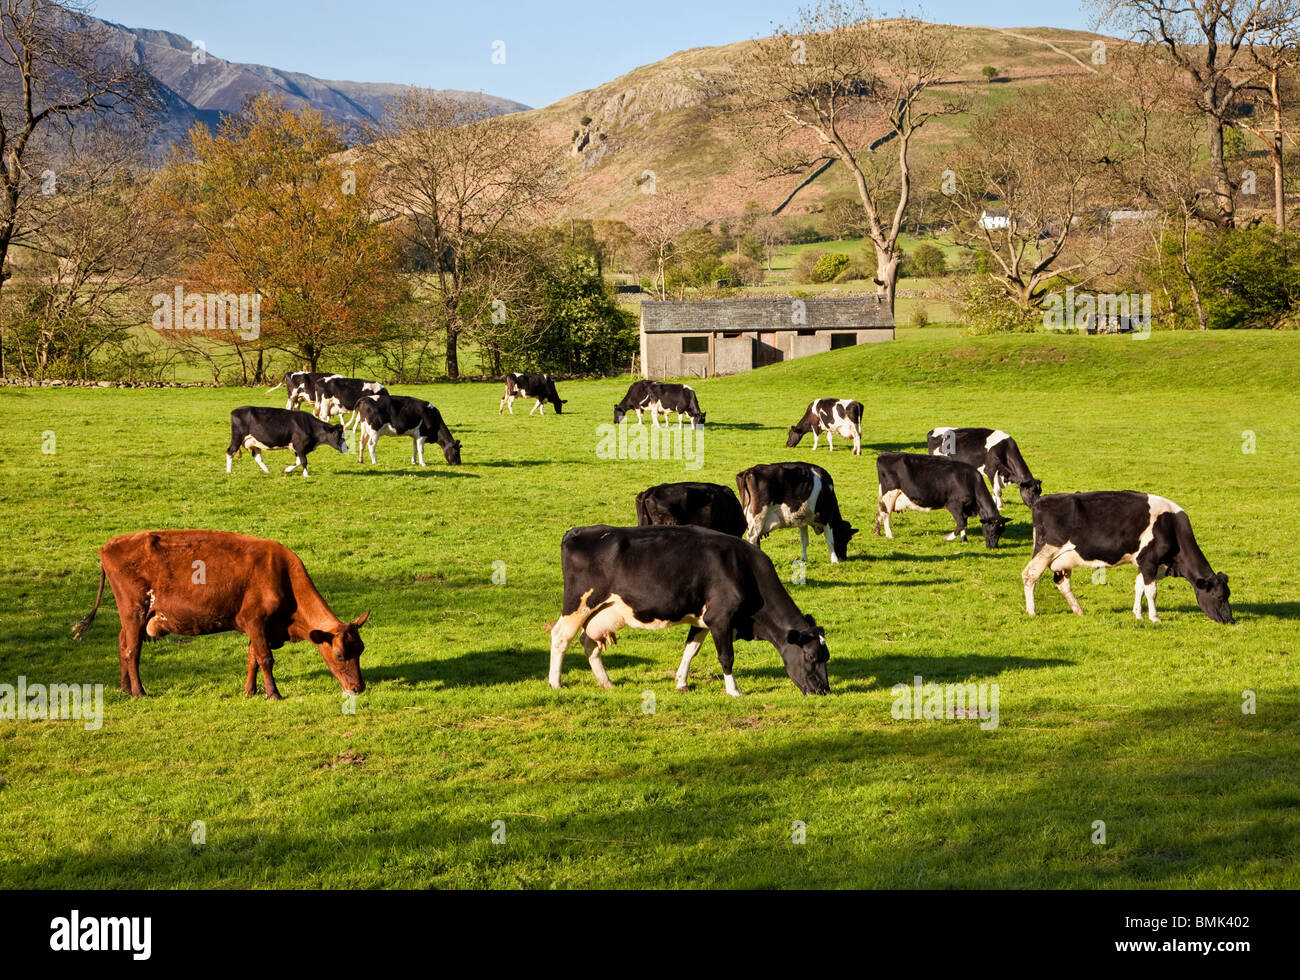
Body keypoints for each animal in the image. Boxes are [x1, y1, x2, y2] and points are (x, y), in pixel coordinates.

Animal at [71, 530, 371, 696]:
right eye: (340, 655)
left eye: (361, 650)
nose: (358, 688)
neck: (282, 573)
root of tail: (109, 545)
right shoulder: (256, 621)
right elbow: (265, 659)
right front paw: (273, 693)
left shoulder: (257, 627)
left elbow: (252, 658)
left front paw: (250, 691)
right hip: (134, 612)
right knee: (132, 651)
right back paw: (139, 691)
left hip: (132, 617)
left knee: (122, 644)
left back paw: (125, 688)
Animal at [548, 522, 832, 691]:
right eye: (810, 657)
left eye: (826, 657)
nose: (824, 690)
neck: (743, 569)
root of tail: (576, 531)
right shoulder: (721, 619)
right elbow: (726, 656)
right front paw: (734, 690)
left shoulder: (704, 619)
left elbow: (691, 650)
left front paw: (682, 682)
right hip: (578, 604)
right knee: (561, 637)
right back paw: (555, 682)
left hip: (602, 612)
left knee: (588, 642)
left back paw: (606, 682)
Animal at [878, 447, 1008, 545]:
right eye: (993, 529)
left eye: (1001, 531)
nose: (993, 547)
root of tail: (885, 454)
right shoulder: (953, 504)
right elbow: (961, 523)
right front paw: (948, 538)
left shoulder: (965, 508)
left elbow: (964, 523)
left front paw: (964, 540)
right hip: (890, 494)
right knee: (886, 514)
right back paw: (889, 535)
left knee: (880, 512)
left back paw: (877, 532)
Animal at [1024, 488, 1227, 618]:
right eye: (1219, 597)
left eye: (1228, 595)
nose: (1230, 620)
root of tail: (1040, 501)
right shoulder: (1149, 561)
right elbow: (1151, 591)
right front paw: (1155, 617)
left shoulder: (1143, 563)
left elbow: (1139, 588)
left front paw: (1138, 615)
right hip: (1046, 550)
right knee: (1029, 575)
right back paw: (1032, 611)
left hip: (1062, 559)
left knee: (1062, 582)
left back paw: (1079, 610)